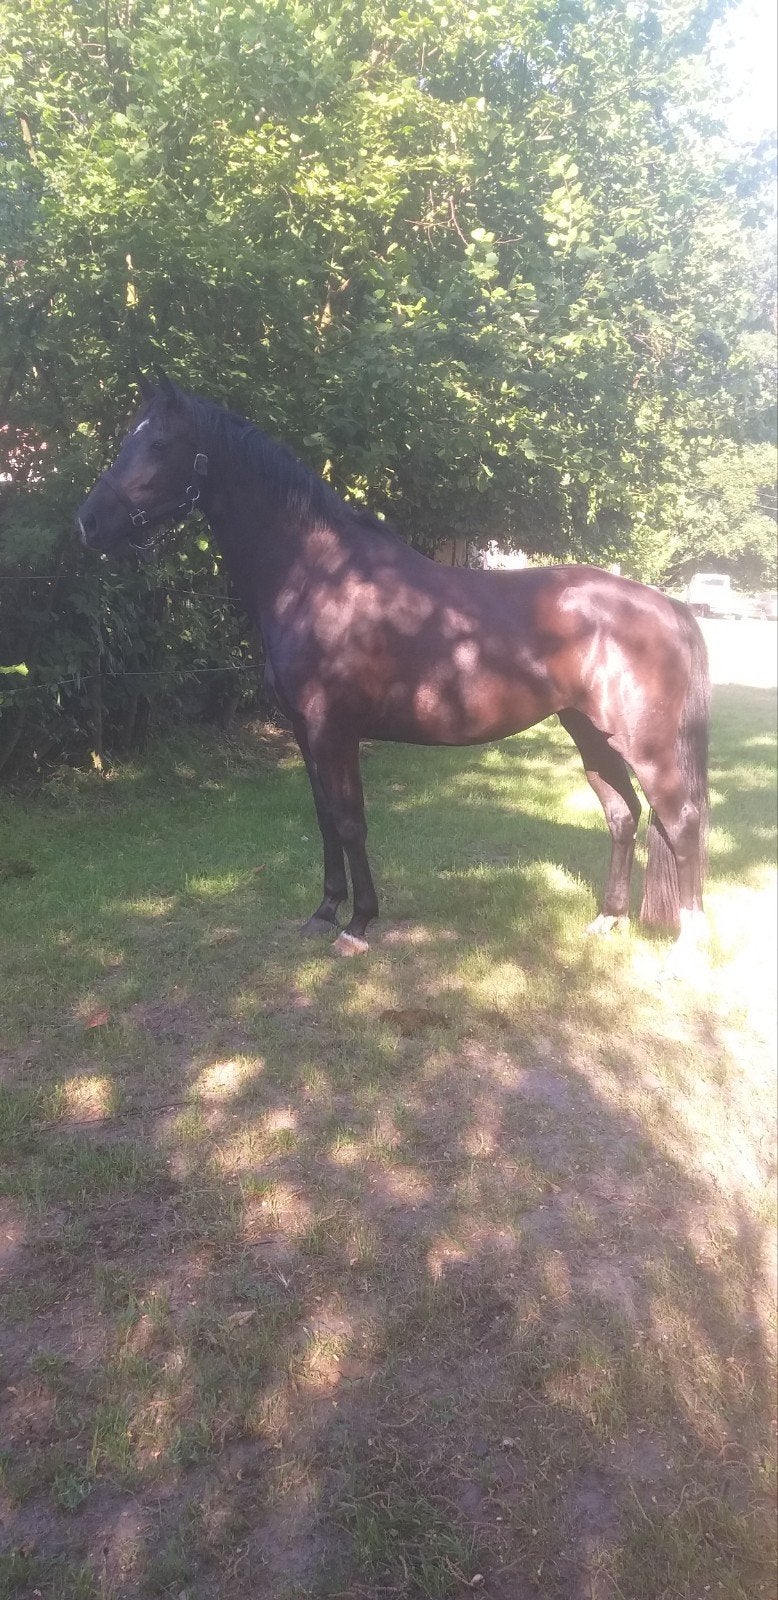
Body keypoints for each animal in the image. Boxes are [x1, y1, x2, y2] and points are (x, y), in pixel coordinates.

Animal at [76, 379, 710, 960]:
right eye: (127, 437)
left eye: (159, 443)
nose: (87, 524)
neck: (320, 580)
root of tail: (667, 607)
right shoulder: (306, 734)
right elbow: (325, 820)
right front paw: (323, 912)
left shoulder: (334, 732)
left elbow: (351, 821)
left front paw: (358, 926)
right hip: (590, 734)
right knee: (623, 816)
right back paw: (607, 921)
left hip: (647, 747)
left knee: (680, 823)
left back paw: (689, 946)